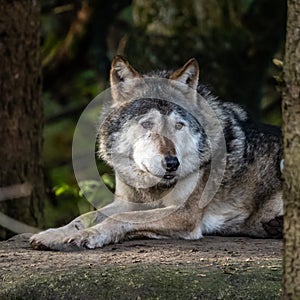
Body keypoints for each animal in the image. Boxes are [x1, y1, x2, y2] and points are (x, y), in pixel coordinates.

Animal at [29, 55, 282, 251]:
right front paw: (52, 234)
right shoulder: (126, 201)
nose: (172, 163)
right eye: (147, 124)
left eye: (178, 125)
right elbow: (83, 217)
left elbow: (122, 218)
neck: (150, 186)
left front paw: (89, 236)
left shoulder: (185, 213)